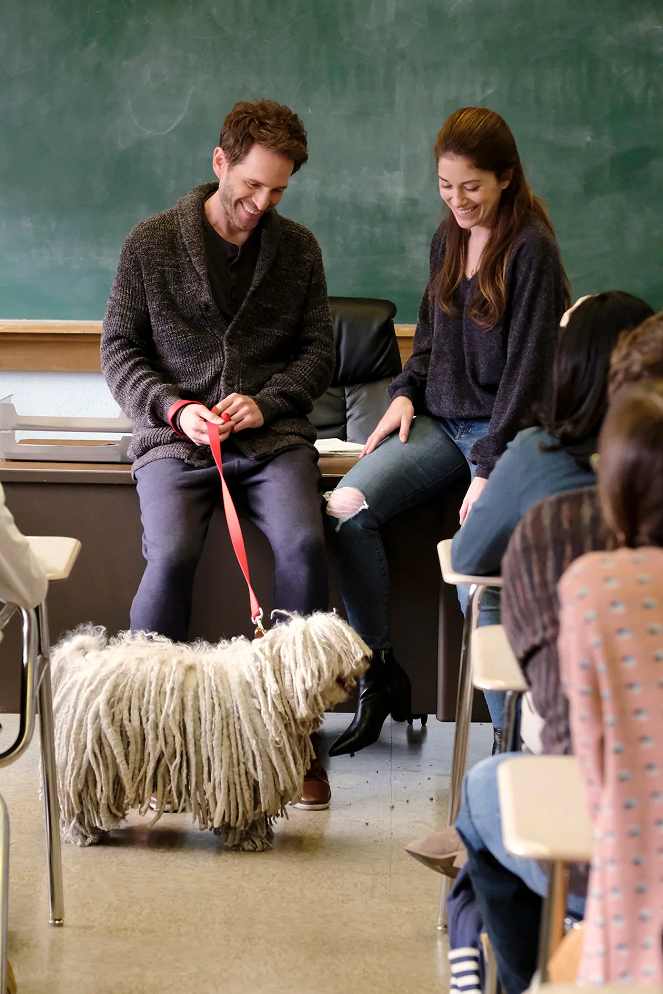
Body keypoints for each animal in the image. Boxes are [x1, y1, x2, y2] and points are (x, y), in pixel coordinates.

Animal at [52, 612, 370, 852]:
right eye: (336, 645)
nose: (367, 657)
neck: (269, 685)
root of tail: (84, 663)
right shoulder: (243, 766)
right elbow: (246, 807)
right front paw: (249, 838)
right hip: (91, 755)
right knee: (81, 799)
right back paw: (84, 833)